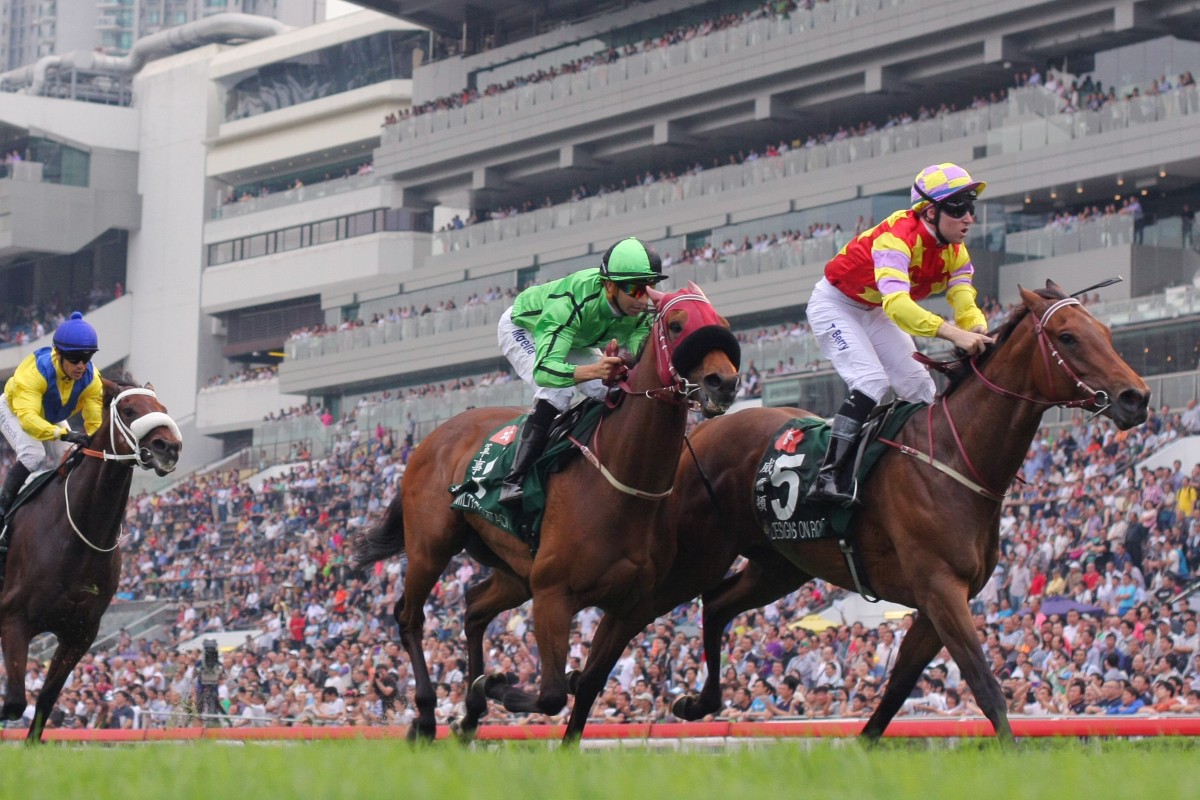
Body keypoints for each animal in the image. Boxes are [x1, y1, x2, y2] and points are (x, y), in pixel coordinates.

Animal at [0, 376, 182, 743]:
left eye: (163, 408)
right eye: (129, 410)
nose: (169, 447)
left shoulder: (80, 633)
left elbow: (44, 701)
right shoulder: (14, 618)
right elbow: (13, 702)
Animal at [350, 284, 739, 743]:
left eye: (723, 324)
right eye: (677, 326)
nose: (725, 382)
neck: (621, 482)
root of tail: (431, 438)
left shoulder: (629, 607)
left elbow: (587, 685)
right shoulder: (553, 594)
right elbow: (553, 693)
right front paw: (497, 685)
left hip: (515, 569)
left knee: (473, 606)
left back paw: (469, 715)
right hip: (432, 546)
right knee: (409, 616)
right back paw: (427, 717)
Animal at [547, 283, 1152, 743]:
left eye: (1108, 334)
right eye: (1069, 337)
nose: (1136, 398)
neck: (954, 459)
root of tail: (698, 435)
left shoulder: (935, 603)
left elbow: (897, 691)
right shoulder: (940, 588)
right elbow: (985, 684)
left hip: (780, 564)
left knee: (715, 606)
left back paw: (695, 703)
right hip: (694, 559)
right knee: (636, 619)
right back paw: (574, 689)